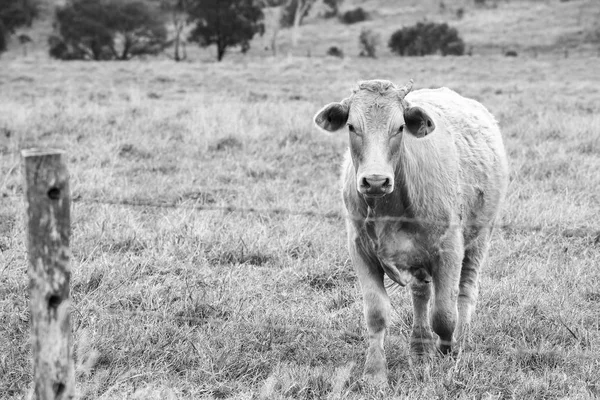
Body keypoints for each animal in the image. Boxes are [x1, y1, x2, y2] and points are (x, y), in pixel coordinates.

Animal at [314, 80, 506, 384]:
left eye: (400, 127)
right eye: (352, 126)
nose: (375, 180)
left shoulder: (449, 249)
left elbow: (444, 314)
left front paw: (447, 351)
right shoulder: (361, 252)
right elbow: (376, 313)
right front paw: (375, 372)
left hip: (480, 239)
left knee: (465, 292)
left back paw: (460, 341)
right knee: (421, 294)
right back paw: (419, 346)